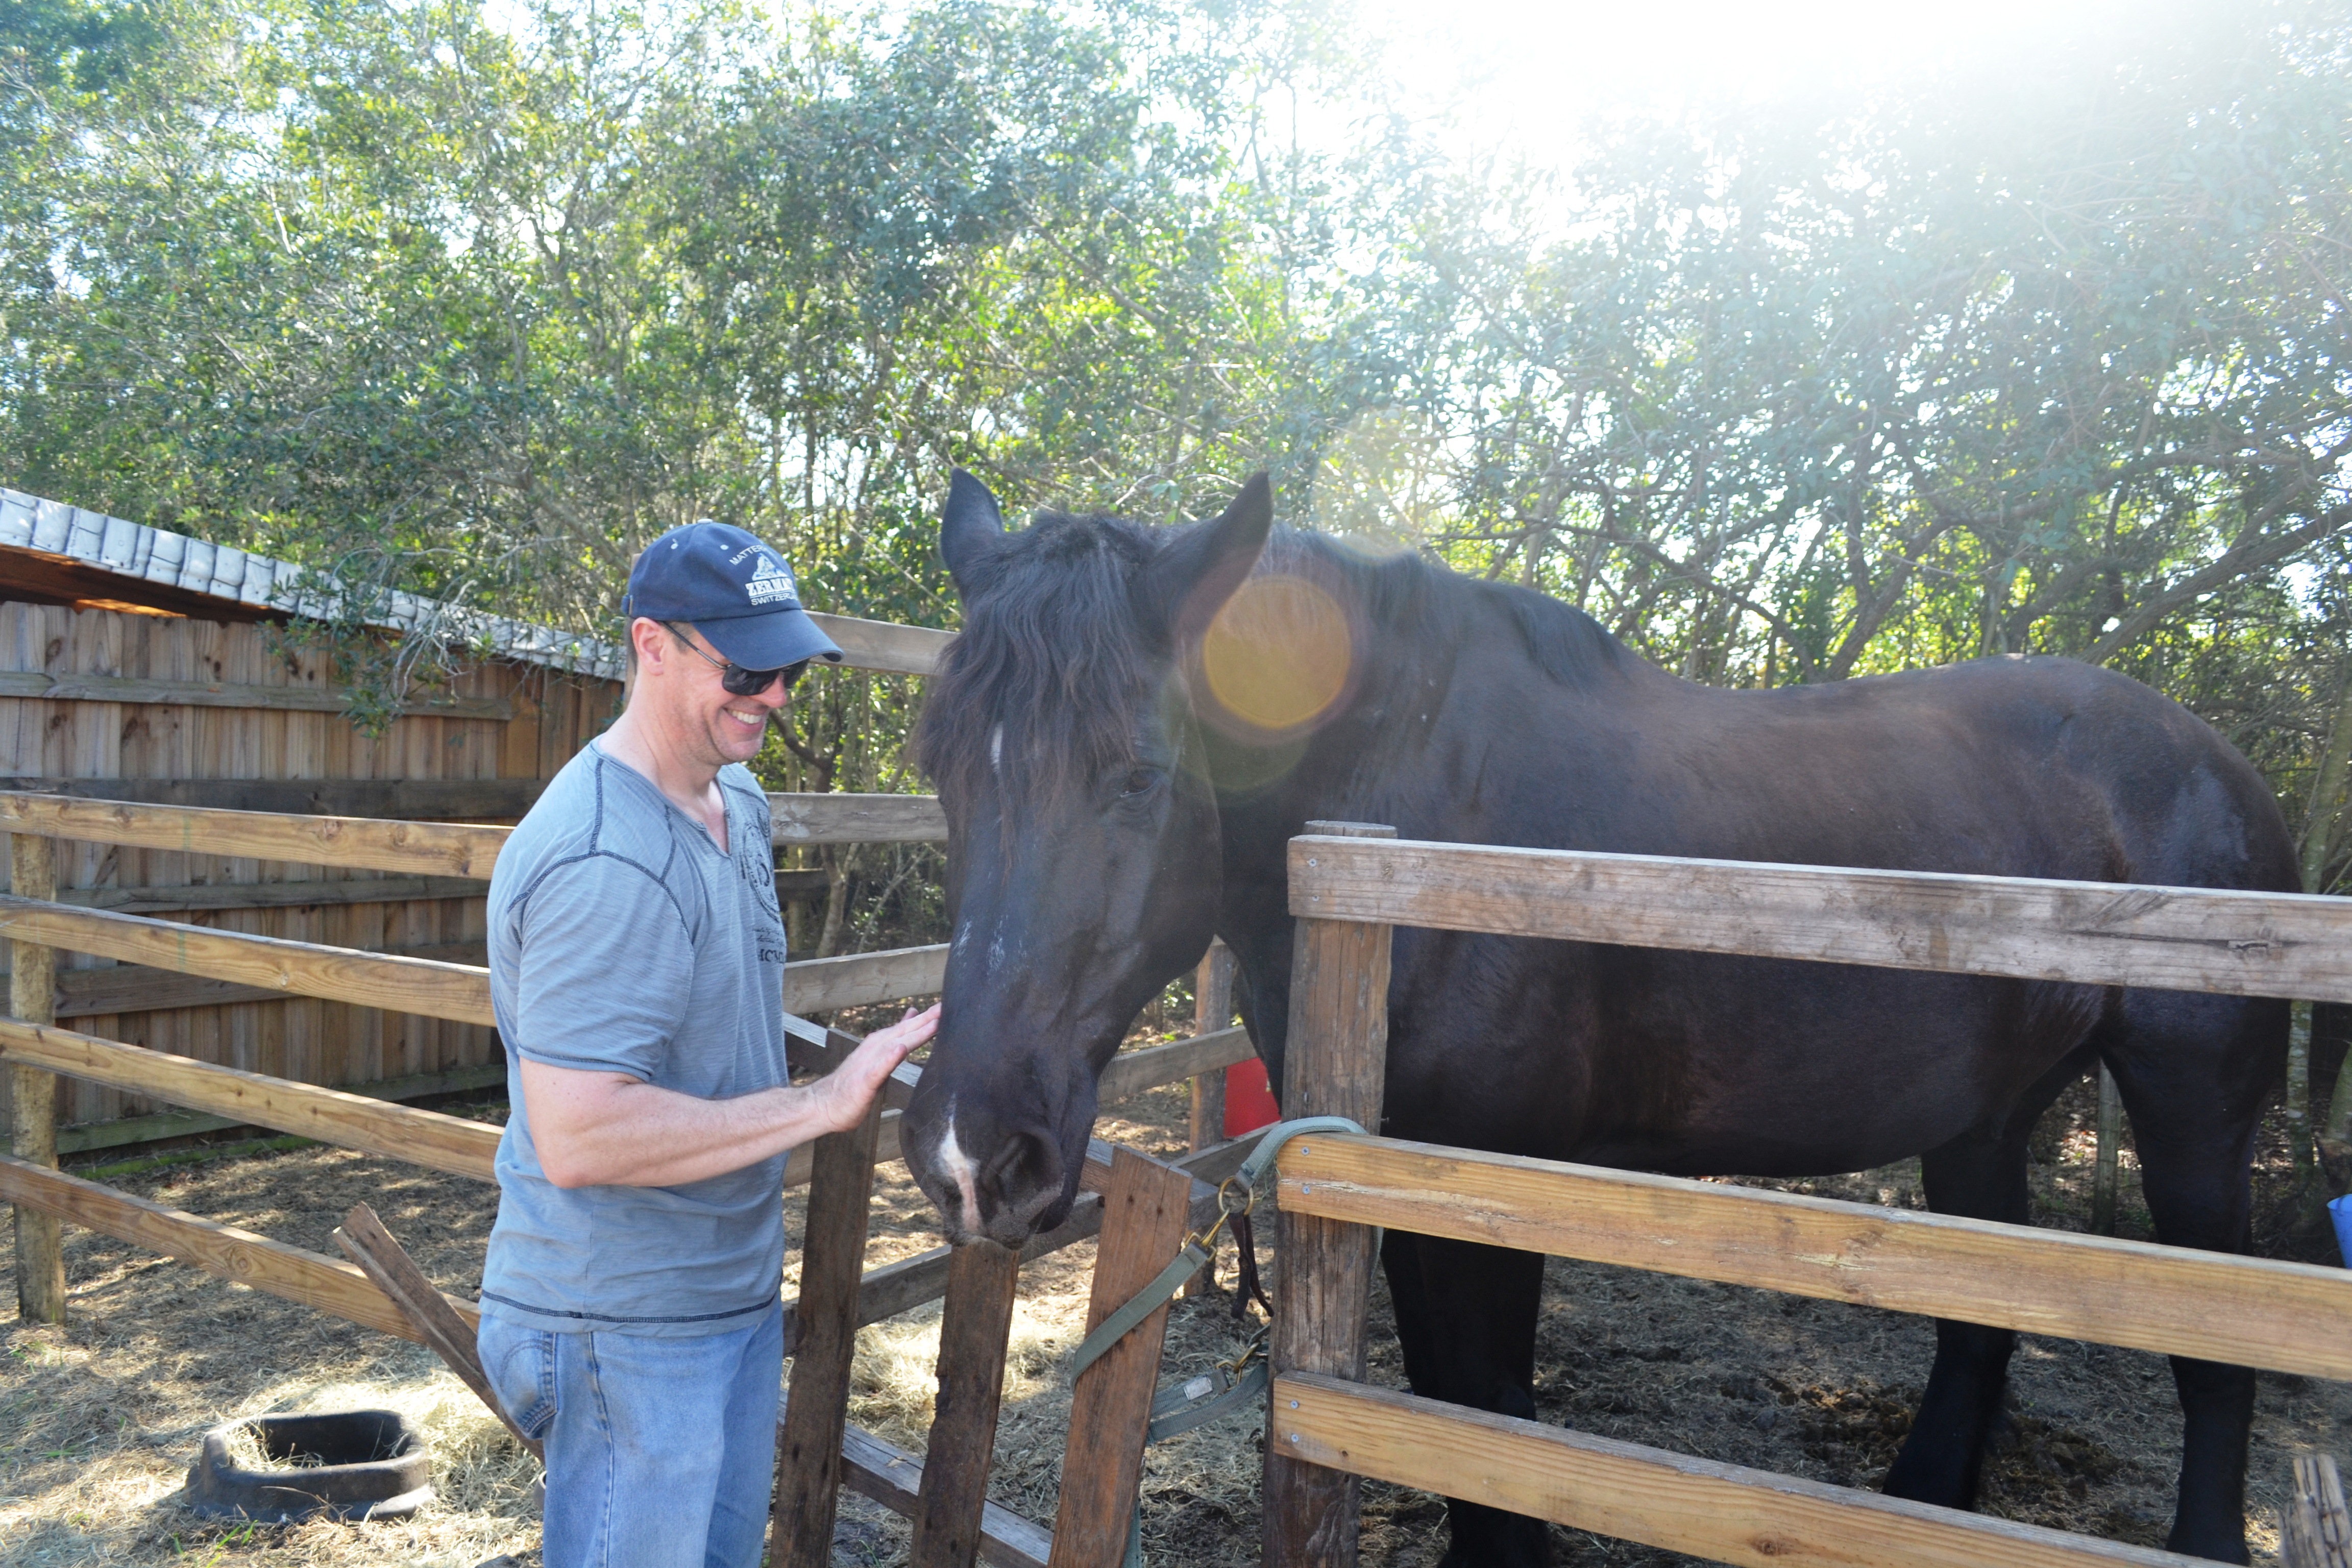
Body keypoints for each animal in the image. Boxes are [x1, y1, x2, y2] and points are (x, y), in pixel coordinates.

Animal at [898, 472, 2295, 1561]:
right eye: (940, 765)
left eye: (1138, 774)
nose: (974, 1155)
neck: (1418, 834)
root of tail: (2221, 767)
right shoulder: (1392, 1171)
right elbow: (1446, 1402)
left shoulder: (1499, 1184)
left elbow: (1490, 1417)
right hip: (1984, 1117)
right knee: (1980, 1324)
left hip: (2195, 1118)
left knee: (2218, 1359)